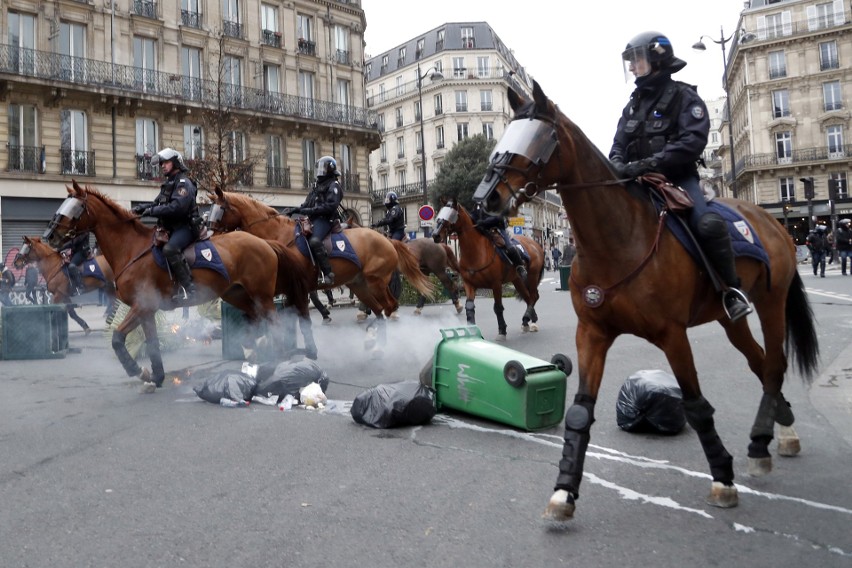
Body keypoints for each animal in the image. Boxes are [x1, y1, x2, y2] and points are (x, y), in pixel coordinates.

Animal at [43, 181, 310, 390]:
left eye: (75, 208)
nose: (49, 236)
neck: (131, 249)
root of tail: (264, 242)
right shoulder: (147, 311)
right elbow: (151, 343)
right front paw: (156, 375)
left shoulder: (141, 306)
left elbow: (117, 338)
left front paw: (136, 370)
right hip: (238, 295)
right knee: (257, 320)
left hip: (261, 295)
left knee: (275, 322)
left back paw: (276, 359)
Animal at [205, 189, 432, 344]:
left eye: (220, 210)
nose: (208, 236)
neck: (279, 237)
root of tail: (387, 240)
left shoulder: (296, 287)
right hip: (360, 285)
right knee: (379, 308)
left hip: (375, 282)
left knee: (389, 305)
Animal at [432, 200, 544, 340]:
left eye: (451, 215)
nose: (435, 235)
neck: (476, 252)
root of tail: (536, 245)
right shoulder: (469, 284)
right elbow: (469, 306)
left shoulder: (496, 284)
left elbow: (498, 308)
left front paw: (502, 331)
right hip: (517, 280)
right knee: (528, 298)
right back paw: (527, 321)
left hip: (532, 276)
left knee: (533, 296)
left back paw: (530, 320)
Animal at [472, 80, 820, 520]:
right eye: (504, 136)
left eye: (538, 138)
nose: (486, 199)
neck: (618, 239)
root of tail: (772, 220)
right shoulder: (592, 333)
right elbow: (580, 411)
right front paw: (564, 490)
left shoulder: (673, 336)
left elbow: (696, 405)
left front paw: (722, 478)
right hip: (730, 319)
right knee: (760, 363)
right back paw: (779, 432)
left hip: (771, 302)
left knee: (773, 364)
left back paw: (762, 443)